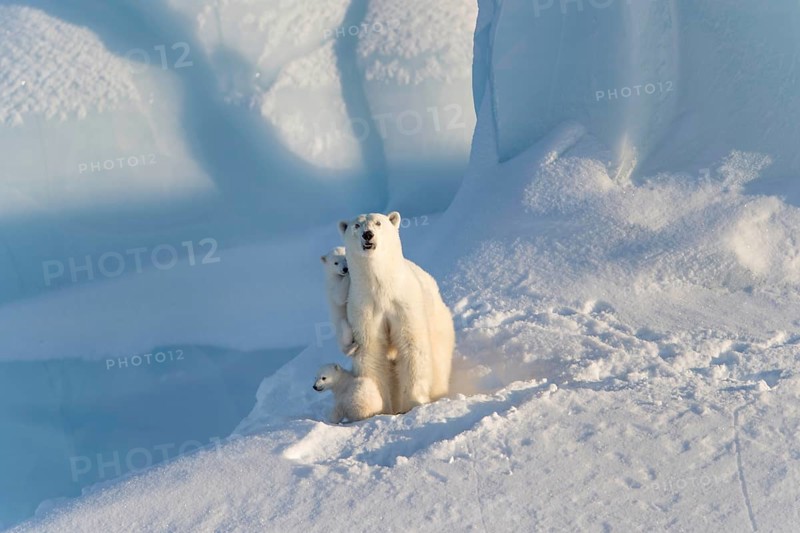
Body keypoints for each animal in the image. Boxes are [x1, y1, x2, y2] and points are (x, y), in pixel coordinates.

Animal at [338, 211, 455, 414]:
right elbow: (371, 351)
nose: (368, 235)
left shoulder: (404, 303)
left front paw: (414, 402)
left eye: (378, 223)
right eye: (357, 225)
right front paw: (379, 407)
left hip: (439, 324)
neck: (382, 287)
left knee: (439, 361)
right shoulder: (364, 308)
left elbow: (412, 345)